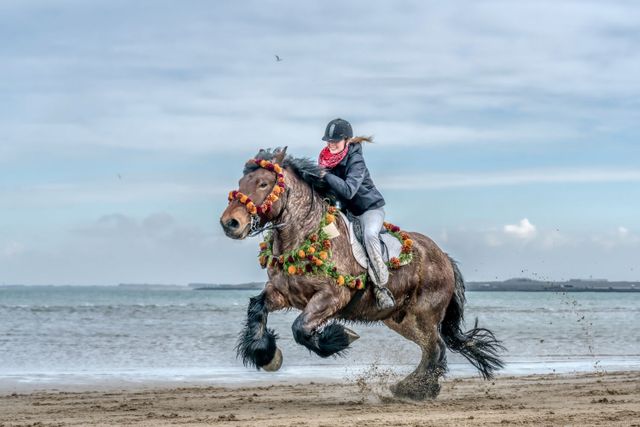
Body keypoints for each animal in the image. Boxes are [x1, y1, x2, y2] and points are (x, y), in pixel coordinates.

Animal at [219, 146, 504, 400]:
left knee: (436, 347)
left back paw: (417, 390)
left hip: (424, 315)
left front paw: (341, 337)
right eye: (241, 182)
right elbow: (257, 308)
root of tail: (444, 257)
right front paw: (266, 355)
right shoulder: (282, 293)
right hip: (402, 320)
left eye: (263, 183)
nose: (230, 223)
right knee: (430, 349)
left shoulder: (332, 296)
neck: (306, 236)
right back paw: (412, 387)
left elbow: (300, 328)